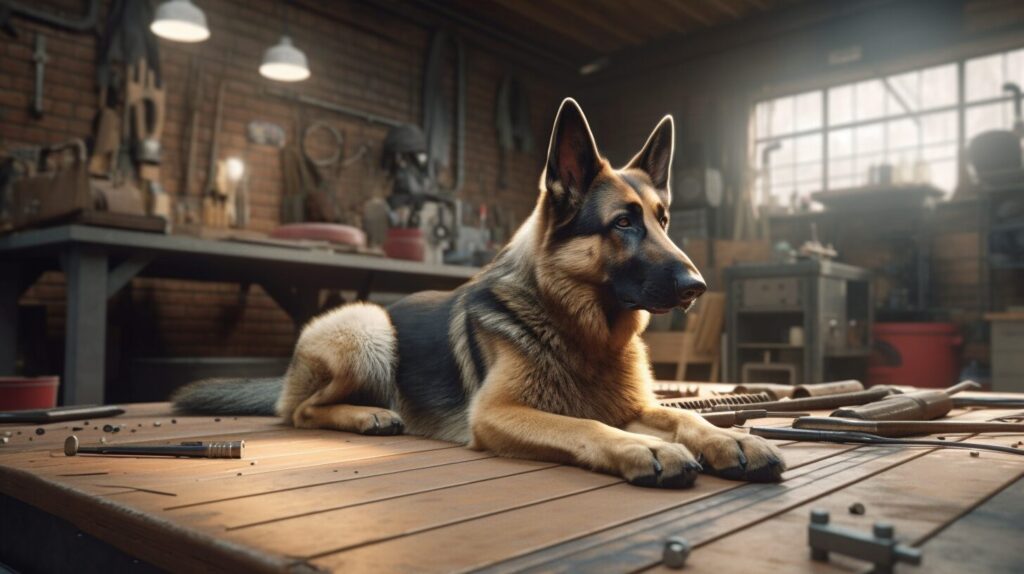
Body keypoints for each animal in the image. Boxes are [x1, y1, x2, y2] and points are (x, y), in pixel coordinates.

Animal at [174, 99, 782, 487]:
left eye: (663, 220)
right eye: (624, 223)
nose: (698, 286)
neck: (579, 329)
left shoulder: (635, 405)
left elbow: (687, 417)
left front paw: (729, 439)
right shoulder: (497, 414)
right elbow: (585, 423)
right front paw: (646, 448)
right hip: (369, 327)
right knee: (300, 411)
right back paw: (368, 415)